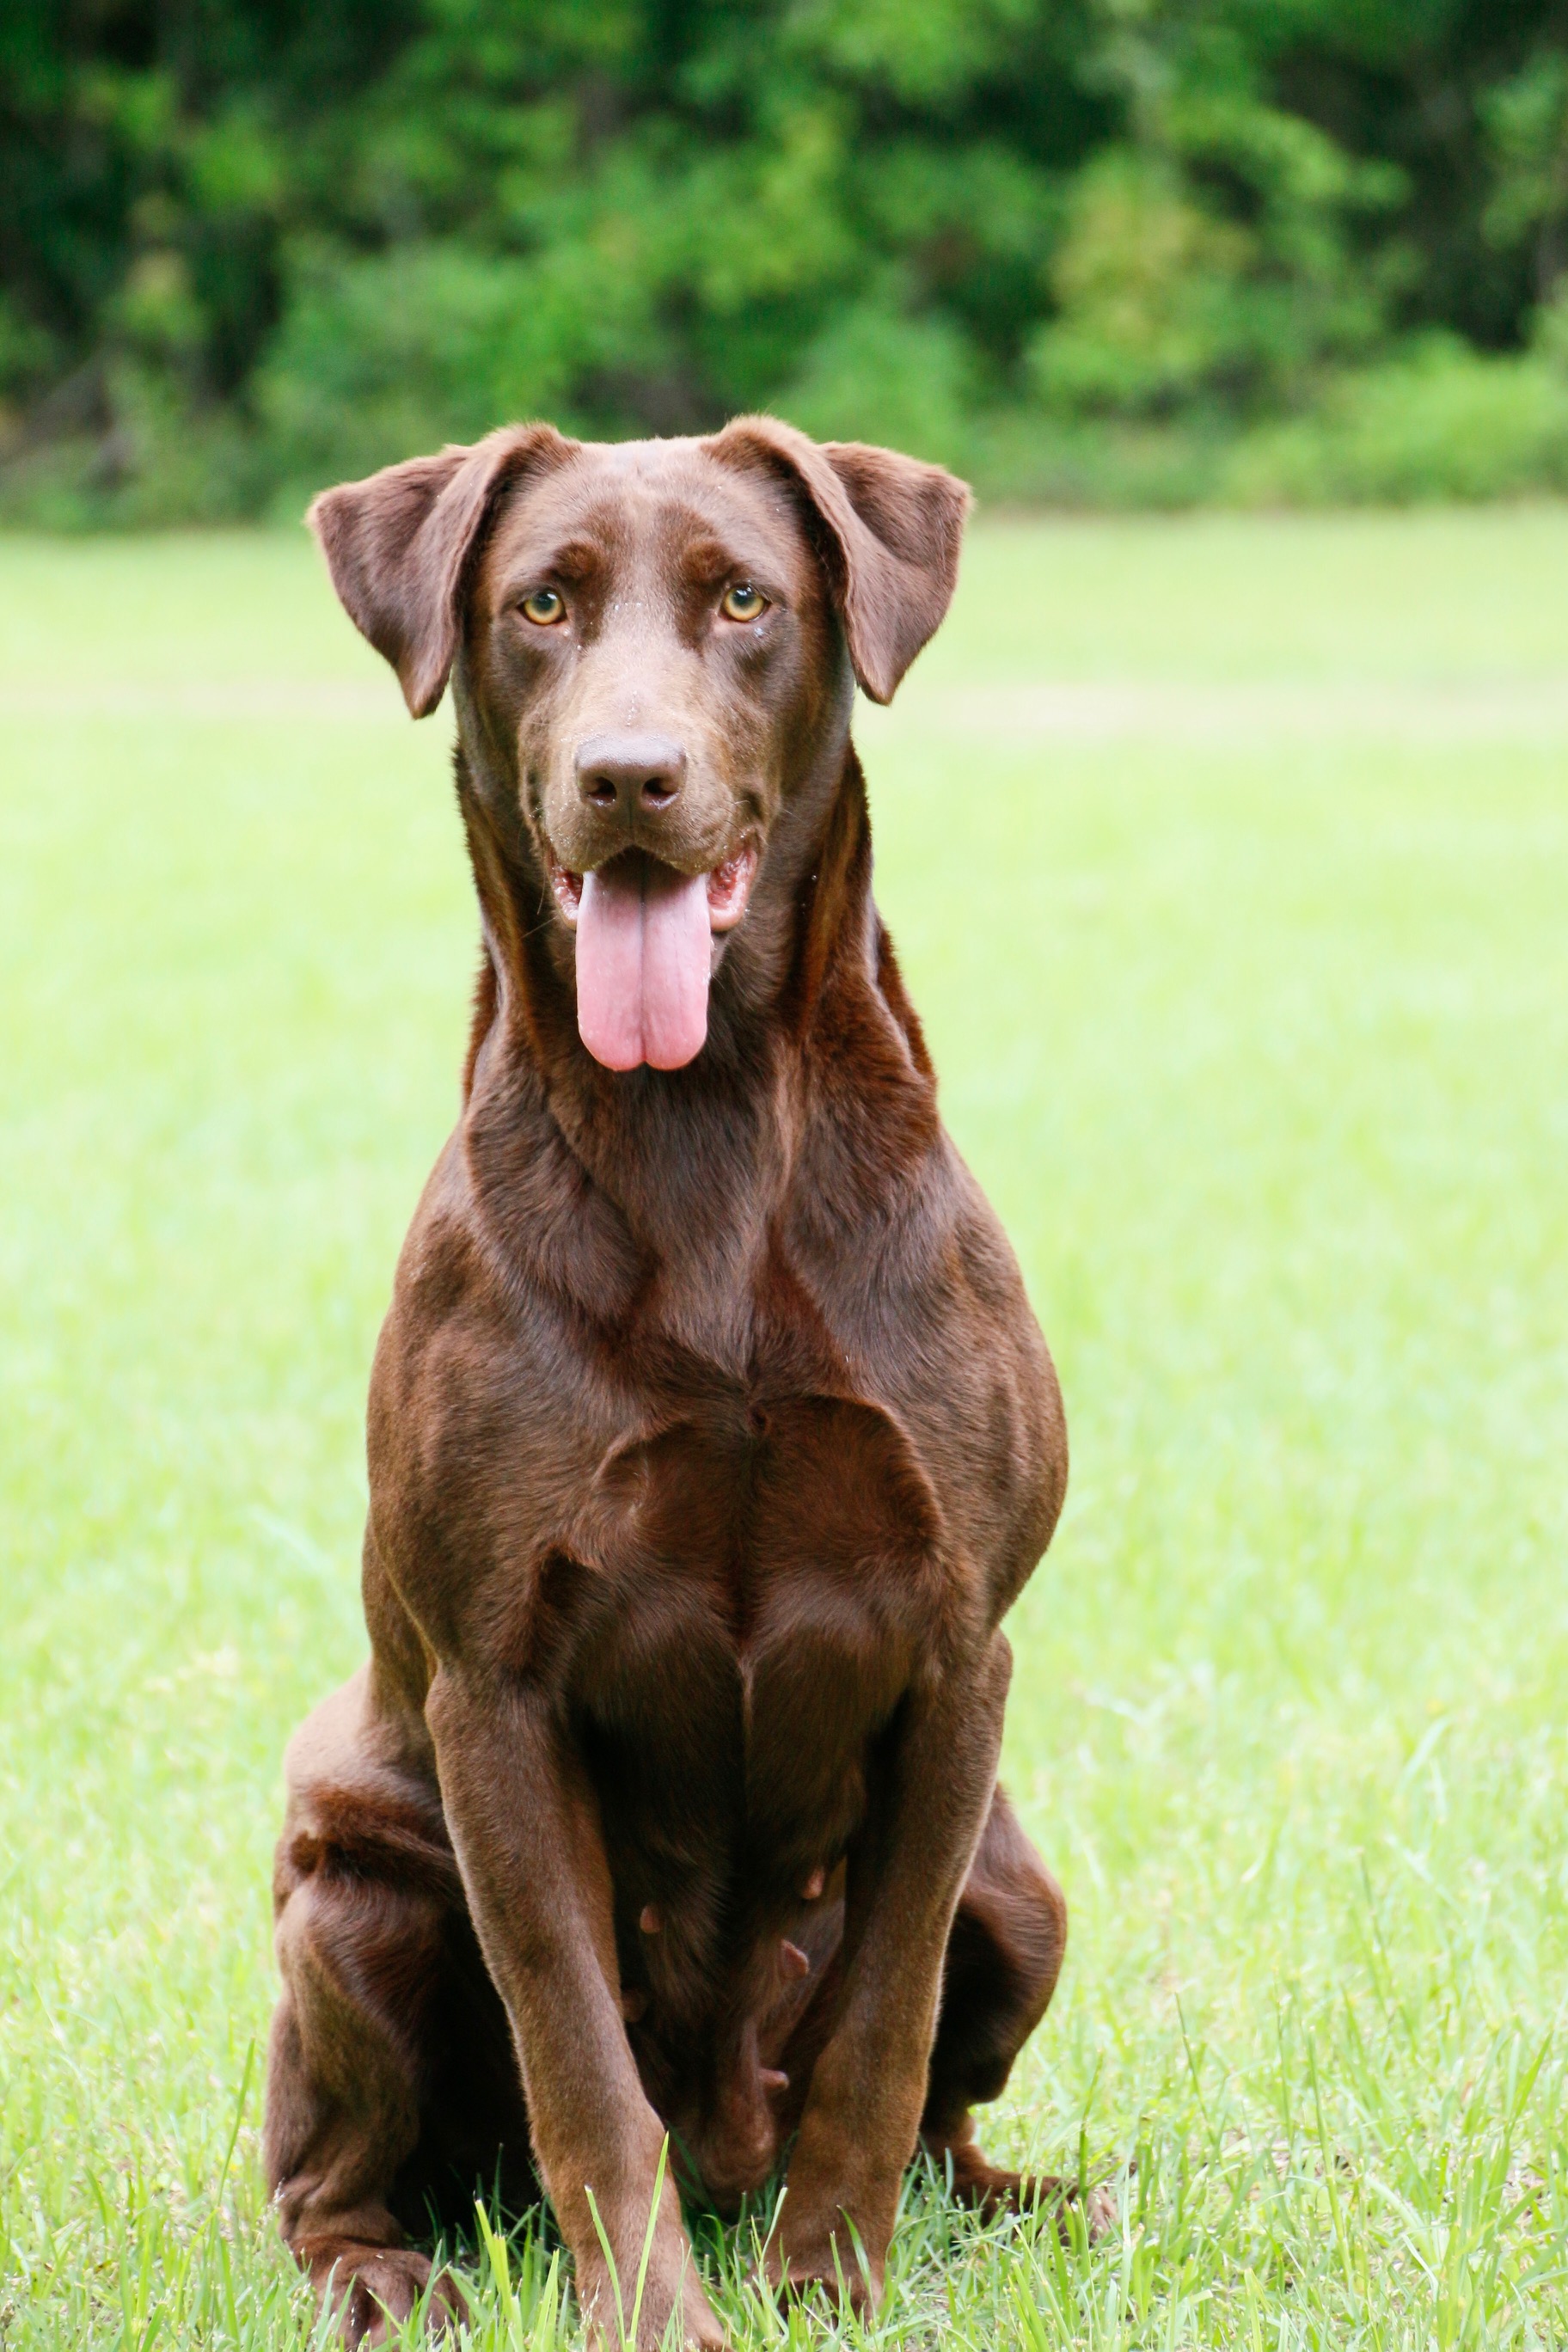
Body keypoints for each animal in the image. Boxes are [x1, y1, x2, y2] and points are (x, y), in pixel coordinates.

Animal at [266, 413, 1081, 2343]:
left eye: (744, 601)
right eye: (539, 604)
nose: (628, 778)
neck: (701, 1130)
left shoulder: (958, 1649)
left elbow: (880, 2027)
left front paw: (835, 2283)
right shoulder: (494, 1690)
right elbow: (575, 2060)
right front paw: (651, 2315)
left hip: (1024, 1885)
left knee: (942, 2086)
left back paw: (1018, 2209)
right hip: (352, 1877)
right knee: (318, 2170)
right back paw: (382, 2275)